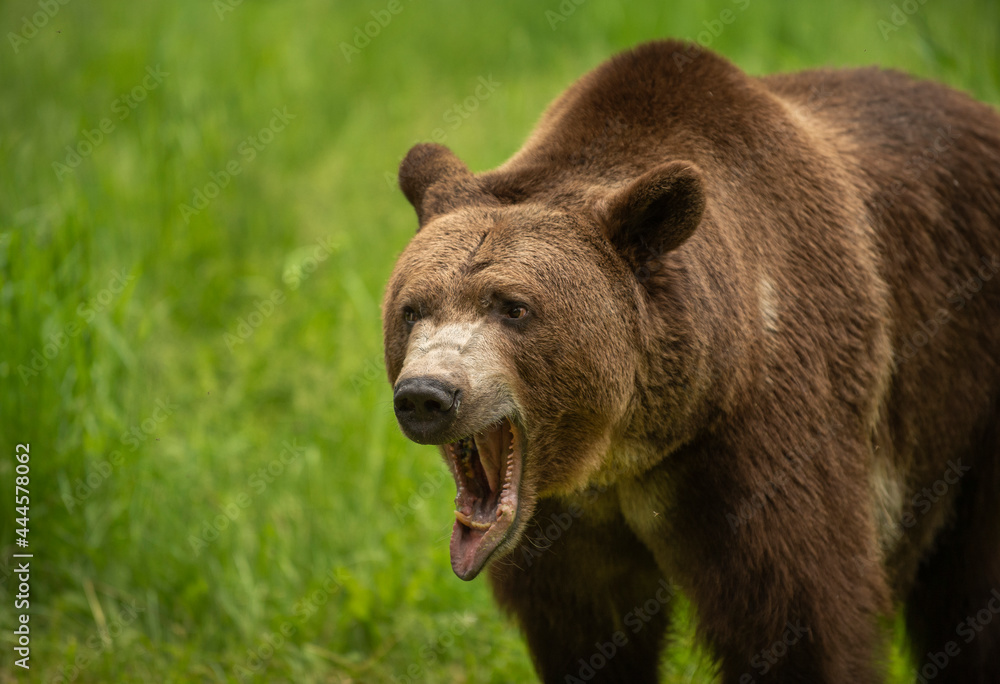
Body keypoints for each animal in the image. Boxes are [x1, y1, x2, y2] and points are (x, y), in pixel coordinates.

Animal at [382, 40, 1000, 680]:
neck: (628, 445)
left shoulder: (764, 443)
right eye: (412, 308)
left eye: (513, 307)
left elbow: (804, 618)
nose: (427, 395)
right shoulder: (566, 529)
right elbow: (587, 634)